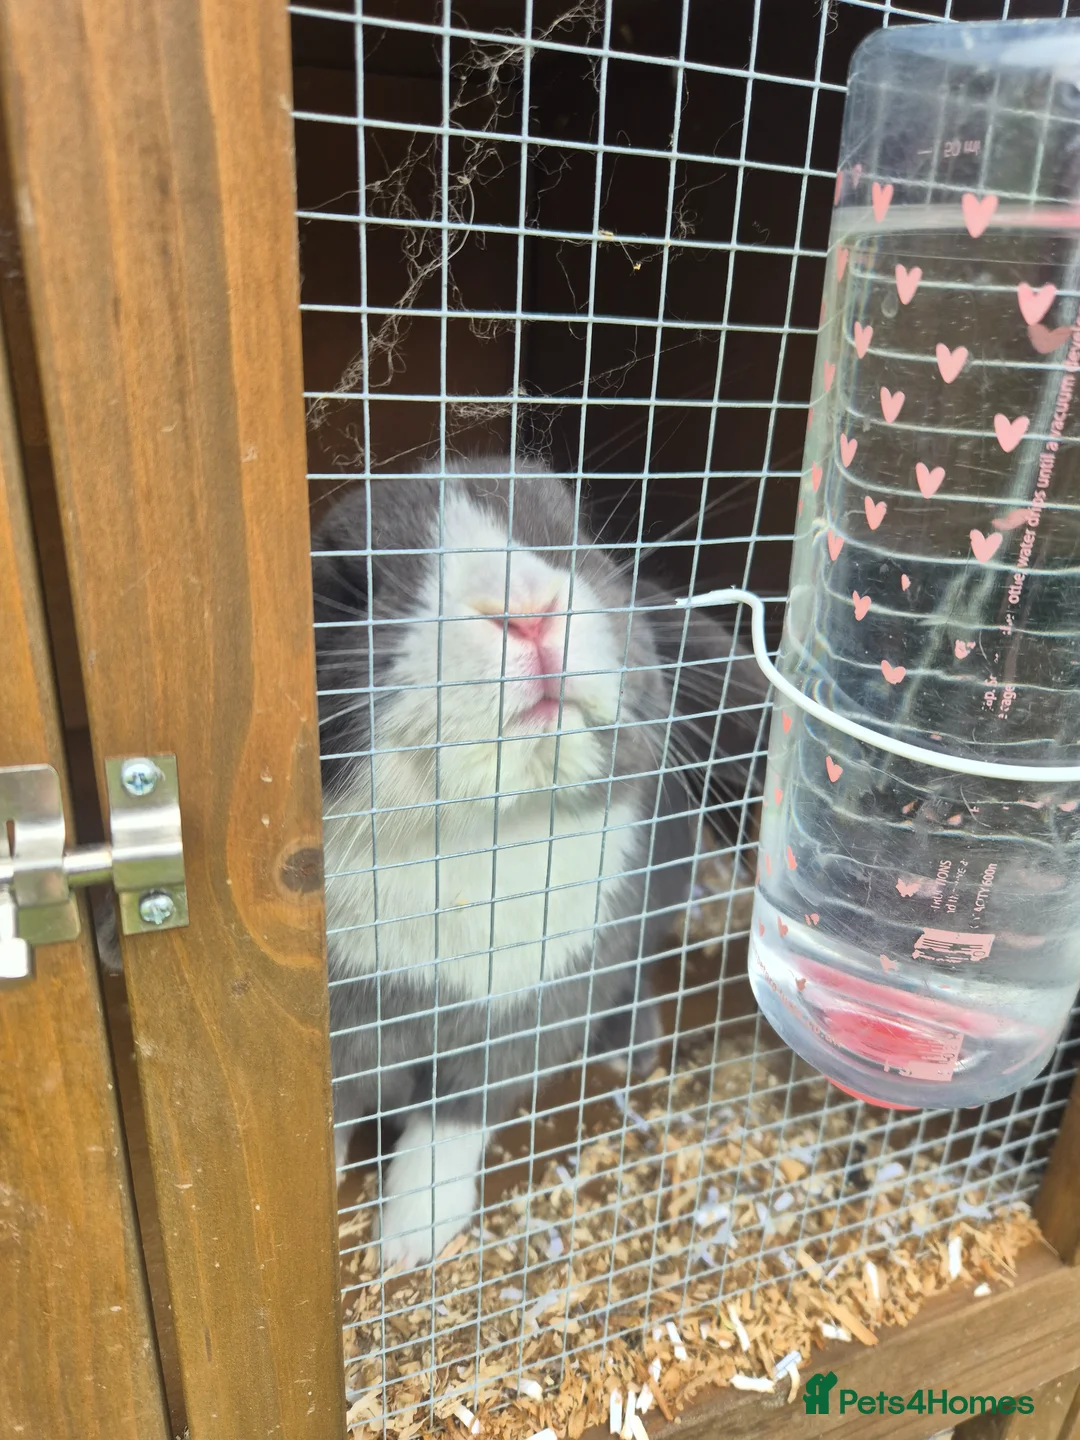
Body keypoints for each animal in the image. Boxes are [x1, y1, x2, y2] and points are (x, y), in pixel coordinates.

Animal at [313, 456, 765, 1269]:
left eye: (577, 539)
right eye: (351, 587)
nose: (528, 609)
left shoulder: (513, 1035)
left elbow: (447, 1135)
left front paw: (409, 1244)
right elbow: (330, 1114)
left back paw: (631, 1049)